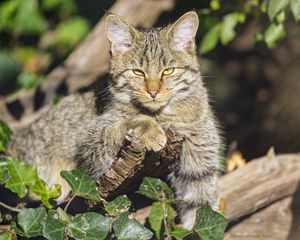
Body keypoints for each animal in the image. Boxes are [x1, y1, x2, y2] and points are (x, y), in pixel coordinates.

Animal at [7, 12, 220, 230]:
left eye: (168, 71)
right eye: (138, 72)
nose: (153, 91)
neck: (162, 115)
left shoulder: (200, 161)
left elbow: (201, 205)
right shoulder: (90, 148)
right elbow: (121, 125)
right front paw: (148, 127)